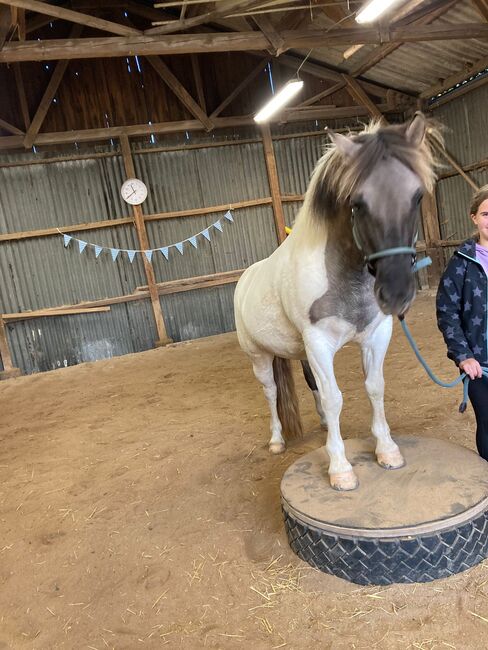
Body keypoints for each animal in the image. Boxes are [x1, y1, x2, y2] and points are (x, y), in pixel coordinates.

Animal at [233, 114, 438, 492]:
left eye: (417, 196)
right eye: (358, 203)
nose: (396, 293)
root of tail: (246, 279)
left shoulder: (376, 336)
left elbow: (374, 388)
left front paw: (387, 451)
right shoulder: (319, 343)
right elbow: (334, 398)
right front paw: (340, 469)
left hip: (299, 353)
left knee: (310, 384)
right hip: (260, 356)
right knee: (271, 393)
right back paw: (277, 440)